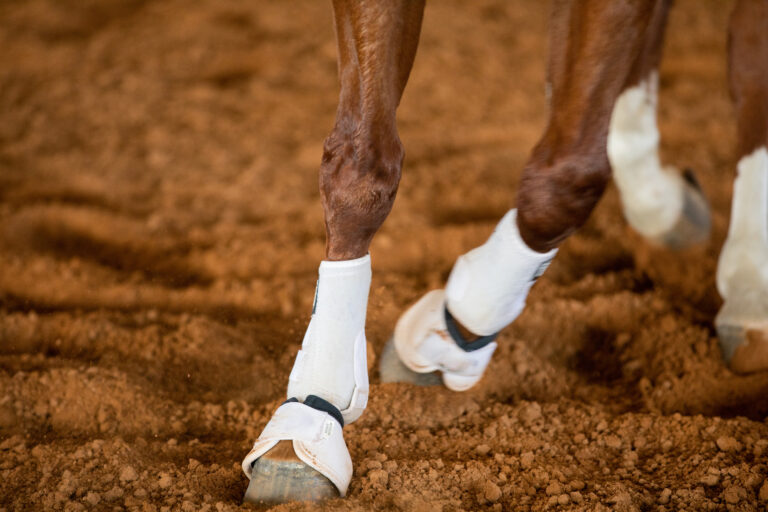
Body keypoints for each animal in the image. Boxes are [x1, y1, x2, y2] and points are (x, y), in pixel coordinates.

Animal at [240, 0, 768, 503]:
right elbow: (359, 169)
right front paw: (310, 417)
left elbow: (565, 181)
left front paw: (459, 327)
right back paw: (662, 207)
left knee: (748, 63)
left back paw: (748, 299)